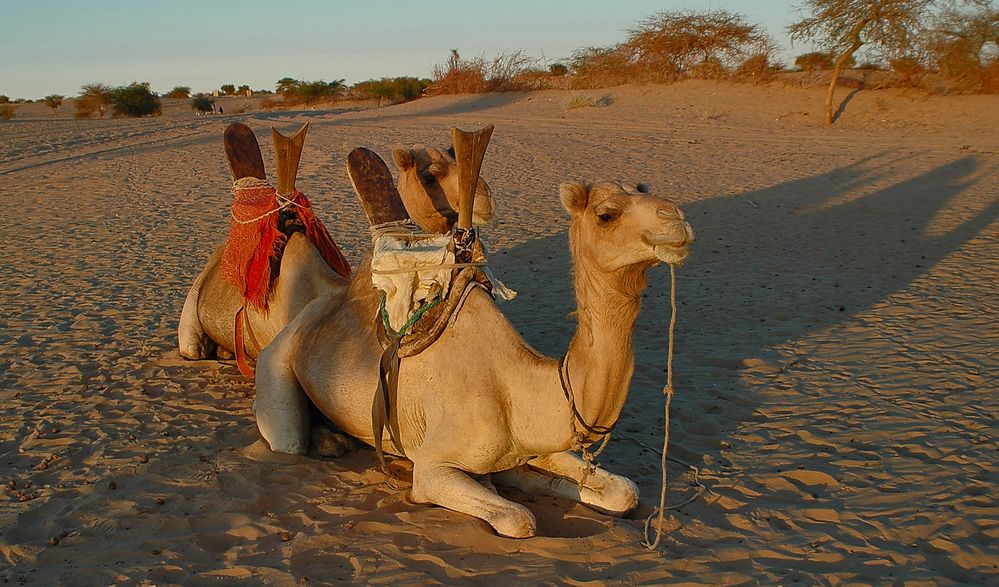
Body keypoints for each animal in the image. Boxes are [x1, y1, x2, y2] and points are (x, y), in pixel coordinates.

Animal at [258, 180, 696, 544]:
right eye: (607, 214)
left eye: (643, 189)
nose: (676, 217)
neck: (518, 387)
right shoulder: (433, 467)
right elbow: (518, 518)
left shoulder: (530, 444)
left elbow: (623, 492)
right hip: (276, 360)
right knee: (287, 440)